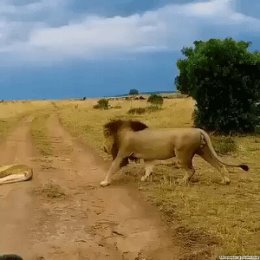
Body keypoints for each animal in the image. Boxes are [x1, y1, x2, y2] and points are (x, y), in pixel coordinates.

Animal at [99, 120, 248, 187]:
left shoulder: (123, 153)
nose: (103, 148)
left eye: (105, 136)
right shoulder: (148, 157)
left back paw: (181, 181)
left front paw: (104, 182)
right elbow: (148, 168)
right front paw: (145, 178)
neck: (122, 133)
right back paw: (225, 180)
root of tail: (199, 130)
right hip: (203, 151)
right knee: (219, 165)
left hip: (182, 154)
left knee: (191, 170)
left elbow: (112, 167)